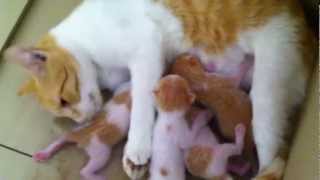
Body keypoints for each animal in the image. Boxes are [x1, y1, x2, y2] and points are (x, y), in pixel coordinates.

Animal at [4, 0, 316, 179]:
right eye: (65, 113)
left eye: (63, 99)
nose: (83, 119)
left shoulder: (146, 50)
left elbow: (142, 103)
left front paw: (136, 148)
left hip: (266, 95)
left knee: (270, 155)